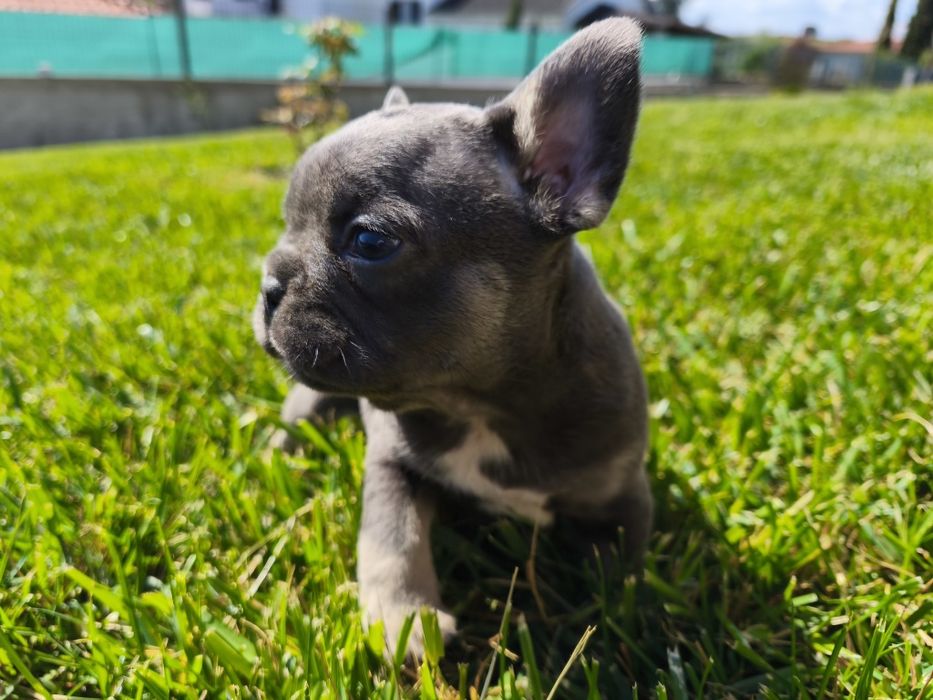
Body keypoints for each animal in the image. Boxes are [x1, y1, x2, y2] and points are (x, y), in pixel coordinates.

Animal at [254, 17, 651, 658]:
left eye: (370, 242)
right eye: (287, 225)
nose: (268, 283)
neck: (477, 403)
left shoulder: (619, 499)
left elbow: (623, 583)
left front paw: (612, 633)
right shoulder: (392, 465)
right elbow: (392, 536)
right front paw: (402, 617)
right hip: (307, 405)